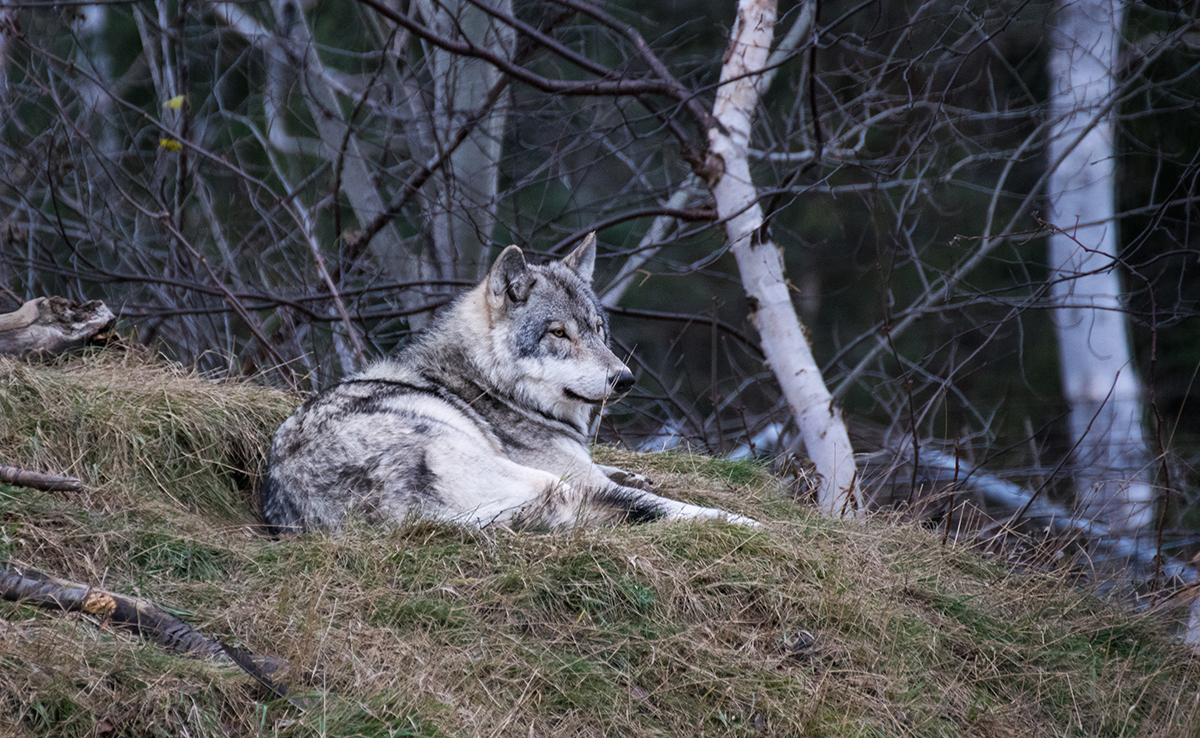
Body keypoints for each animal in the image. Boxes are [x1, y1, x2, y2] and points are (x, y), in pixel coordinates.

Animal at [260, 235, 758, 530]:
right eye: (559, 333)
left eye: (598, 329)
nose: (625, 379)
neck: (489, 387)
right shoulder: (572, 476)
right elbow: (651, 498)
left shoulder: (585, 468)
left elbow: (615, 473)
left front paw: (633, 471)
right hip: (542, 483)